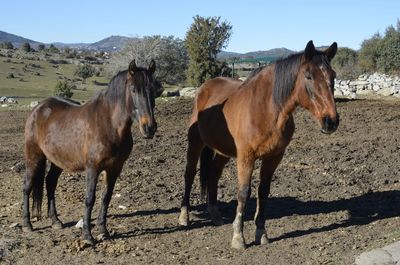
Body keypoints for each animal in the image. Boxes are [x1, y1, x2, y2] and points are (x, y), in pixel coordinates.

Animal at [21, 58, 162, 244]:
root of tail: (38, 108)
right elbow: (90, 199)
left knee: (50, 182)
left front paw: (104, 231)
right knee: (27, 186)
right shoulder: (92, 168)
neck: (109, 125)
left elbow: (106, 197)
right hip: (34, 156)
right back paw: (27, 224)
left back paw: (56, 221)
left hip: (59, 159)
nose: (149, 128)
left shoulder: (115, 168)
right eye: (133, 89)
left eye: (153, 90)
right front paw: (87, 236)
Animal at [180, 40, 340, 248]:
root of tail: (205, 87)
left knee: (213, 174)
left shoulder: (274, 157)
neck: (266, 109)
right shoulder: (246, 157)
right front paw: (238, 237)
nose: (331, 121)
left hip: (223, 151)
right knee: (189, 174)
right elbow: (243, 193)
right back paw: (184, 216)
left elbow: (263, 192)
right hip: (195, 143)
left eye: (333, 76)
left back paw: (215, 215)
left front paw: (261, 233)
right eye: (308, 76)